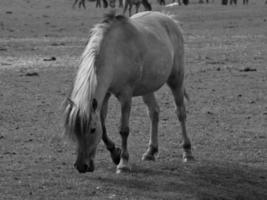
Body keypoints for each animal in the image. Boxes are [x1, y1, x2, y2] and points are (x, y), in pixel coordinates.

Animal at [65, 11, 195, 173]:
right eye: (75, 130)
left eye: (92, 130)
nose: (81, 166)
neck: (114, 53)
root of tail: (169, 19)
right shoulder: (105, 94)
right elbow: (104, 125)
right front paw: (115, 153)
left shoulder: (125, 96)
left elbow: (124, 129)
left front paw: (123, 163)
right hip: (147, 87)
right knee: (154, 112)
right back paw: (150, 151)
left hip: (176, 80)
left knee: (180, 113)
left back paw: (187, 152)